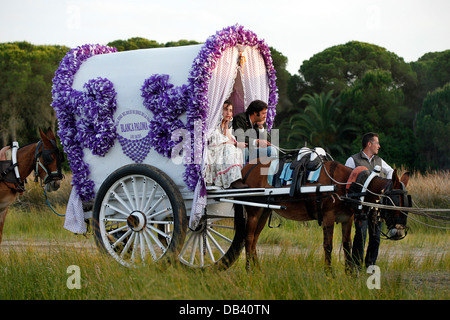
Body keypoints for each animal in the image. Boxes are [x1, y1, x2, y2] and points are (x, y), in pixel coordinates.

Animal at [241, 159, 410, 270]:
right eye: (393, 201)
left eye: (407, 202)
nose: (399, 231)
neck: (349, 185)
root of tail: (247, 168)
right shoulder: (328, 216)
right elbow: (328, 246)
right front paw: (330, 275)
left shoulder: (347, 219)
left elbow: (347, 246)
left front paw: (350, 275)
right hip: (254, 211)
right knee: (248, 239)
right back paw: (249, 270)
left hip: (264, 211)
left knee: (254, 240)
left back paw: (258, 269)